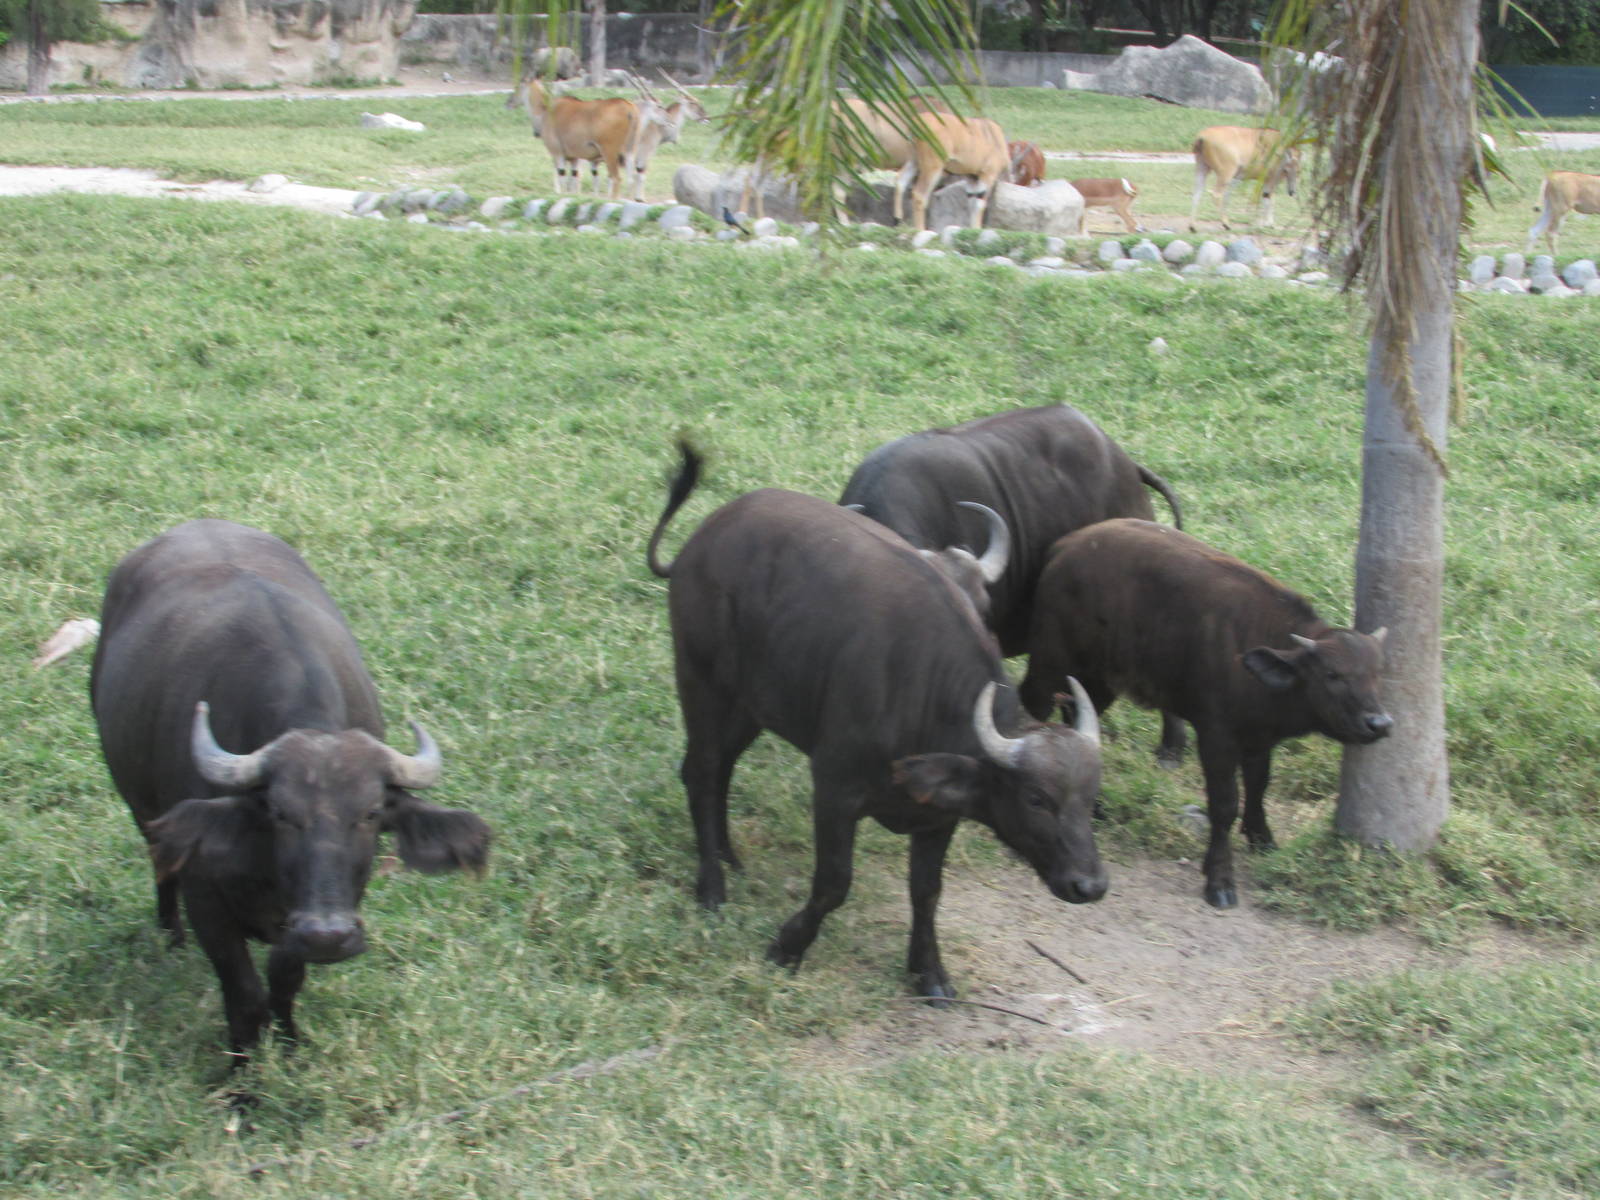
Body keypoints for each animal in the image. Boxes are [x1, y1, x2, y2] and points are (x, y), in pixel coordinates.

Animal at [91, 519, 490, 1054]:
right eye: (279, 812)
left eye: (371, 813)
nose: (328, 936)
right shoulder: (206, 898)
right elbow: (243, 993)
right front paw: (242, 1067)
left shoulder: (309, 913)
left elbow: (285, 977)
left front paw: (289, 1040)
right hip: (140, 807)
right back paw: (169, 936)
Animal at [648, 444, 1106, 1001]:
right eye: (1037, 799)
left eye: (1088, 798)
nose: (1089, 885)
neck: (924, 693)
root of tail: (702, 539)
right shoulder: (834, 791)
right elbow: (833, 884)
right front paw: (788, 946)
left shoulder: (938, 816)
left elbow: (927, 891)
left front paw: (930, 973)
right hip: (701, 681)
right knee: (700, 771)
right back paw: (711, 887)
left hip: (752, 703)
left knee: (721, 770)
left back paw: (729, 856)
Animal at [1019, 519, 1391, 909]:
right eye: (1332, 675)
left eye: (1378, 672)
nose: (1379, 724)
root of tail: (1066, 546)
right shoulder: (1216, 736)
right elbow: (1225, 804)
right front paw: (1220, 879)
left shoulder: (1260, 738)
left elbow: (1259, 784)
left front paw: (1262, 838)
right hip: (1050, 660)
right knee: (1033, 702)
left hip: (1101, 678)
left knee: (1077, 713)